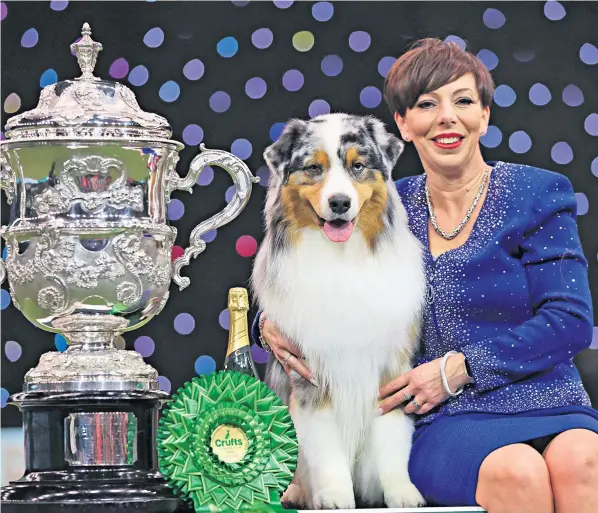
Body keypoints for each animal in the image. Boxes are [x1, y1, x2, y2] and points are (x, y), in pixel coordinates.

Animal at [251, 113, 428, 508]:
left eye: (357, 166)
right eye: (314, 168)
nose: (340, 203)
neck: (343, 259)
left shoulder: (391, 369)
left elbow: (392, 438)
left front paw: (402, 492)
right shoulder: (312, 374)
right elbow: (324, 444)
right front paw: (334, 496)